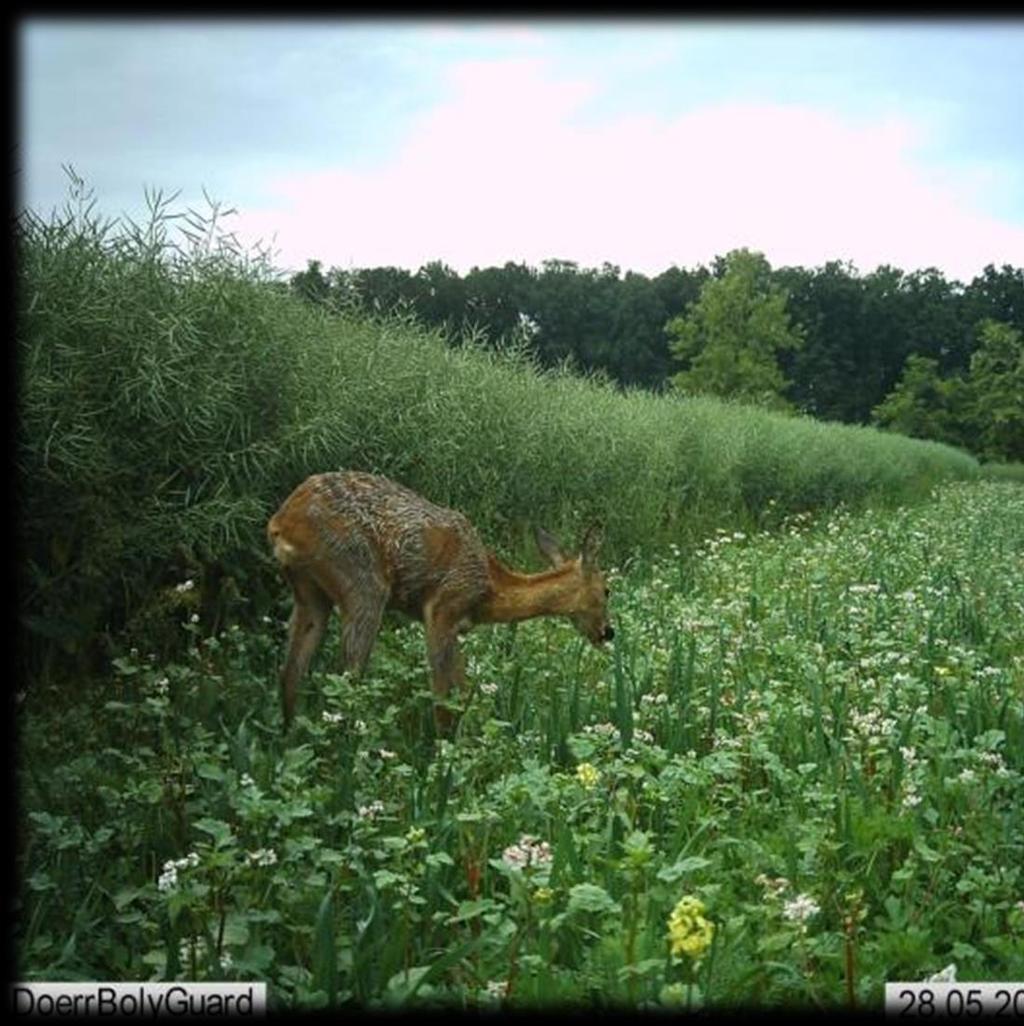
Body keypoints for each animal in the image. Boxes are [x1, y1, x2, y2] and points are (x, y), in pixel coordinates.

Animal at [266, 469, 615, 734]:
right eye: (607, 590)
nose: (608, 632)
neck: (489, 590)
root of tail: (282, 521)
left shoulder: (457, 625)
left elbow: (462, 691)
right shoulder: (442, 609)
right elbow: (444, 698)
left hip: (310, 595)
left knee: (290, 674)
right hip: (362, 583)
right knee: (348, 679)